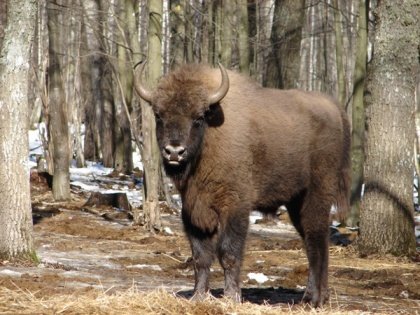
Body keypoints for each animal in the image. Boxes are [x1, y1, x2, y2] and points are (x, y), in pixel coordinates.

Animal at [135, 63, 352, 308]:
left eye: (198, 117)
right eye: (159, 115)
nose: (174, 151)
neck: (210, 137)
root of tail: (335, 109)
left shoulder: (235, 206)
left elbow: (228, 252)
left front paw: (231, 297)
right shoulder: (193, 210)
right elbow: (200, 256)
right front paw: (198, 296)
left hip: (316, 195)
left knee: (316, 241)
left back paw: (311, 299)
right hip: (296, 202)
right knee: (312, 241)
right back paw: (318, 297)